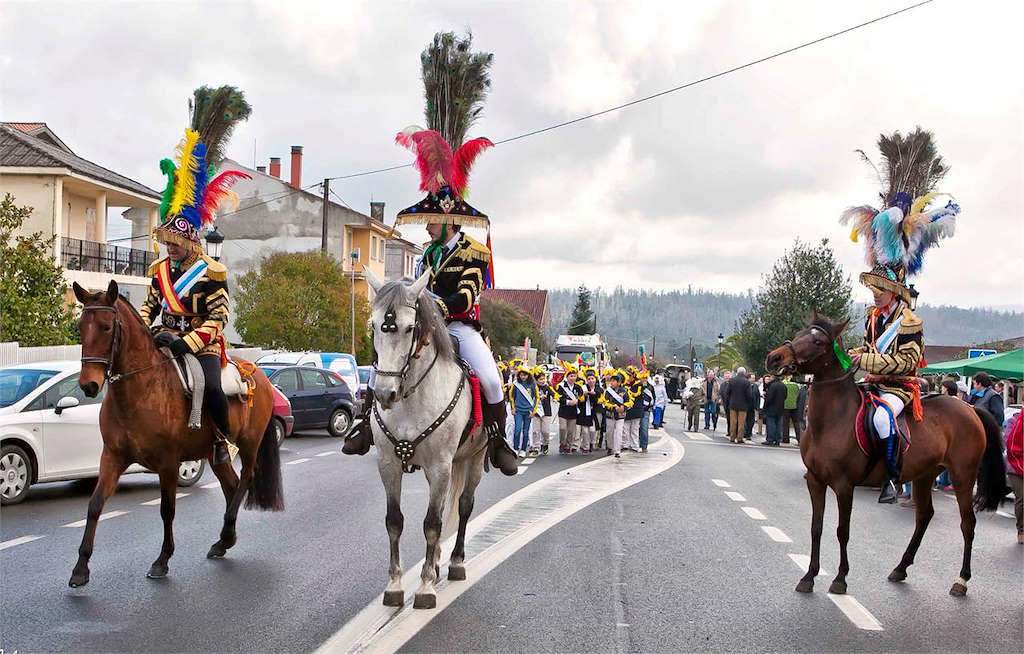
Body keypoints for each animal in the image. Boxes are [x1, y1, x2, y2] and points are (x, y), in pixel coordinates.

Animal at [70, 278, 282, 589]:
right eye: (80, 326)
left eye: (107, 327)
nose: (89, 385)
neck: (141, 389)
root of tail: (260, 375)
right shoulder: (112, 457)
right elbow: (95, 505)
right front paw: (81, 568)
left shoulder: (168, 462)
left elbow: (167, 509)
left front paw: (162, 560)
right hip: (215, 454)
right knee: (231, 485)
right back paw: (224, 539)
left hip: (249, 443)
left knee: (245, 479)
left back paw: (226, 532)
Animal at [364, 270, 491, 609]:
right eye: (373, 325)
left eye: (410, 328)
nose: (384, 394)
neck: (412, 398)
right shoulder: (388, 465)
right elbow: (394, 520)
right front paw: (395, 585)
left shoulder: (440, 466)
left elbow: (432, 524)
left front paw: (424, 588)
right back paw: (435, 562)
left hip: (473, 458)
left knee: (463, 505)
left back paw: (455, 562)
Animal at [765, 315, 1003, 597]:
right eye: (798, 334)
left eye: (818, 341)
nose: (774, 358)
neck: (832, 419)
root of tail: (969, 408)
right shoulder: (815, 481)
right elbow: (816, 528)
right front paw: (809, 576)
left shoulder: (844, 485)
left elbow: (842, 530)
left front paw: (840, 579)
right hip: (924, 475)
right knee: (924, 516)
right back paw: (900, 568)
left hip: (962, 477)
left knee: (968, 523)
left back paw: (961, 580)